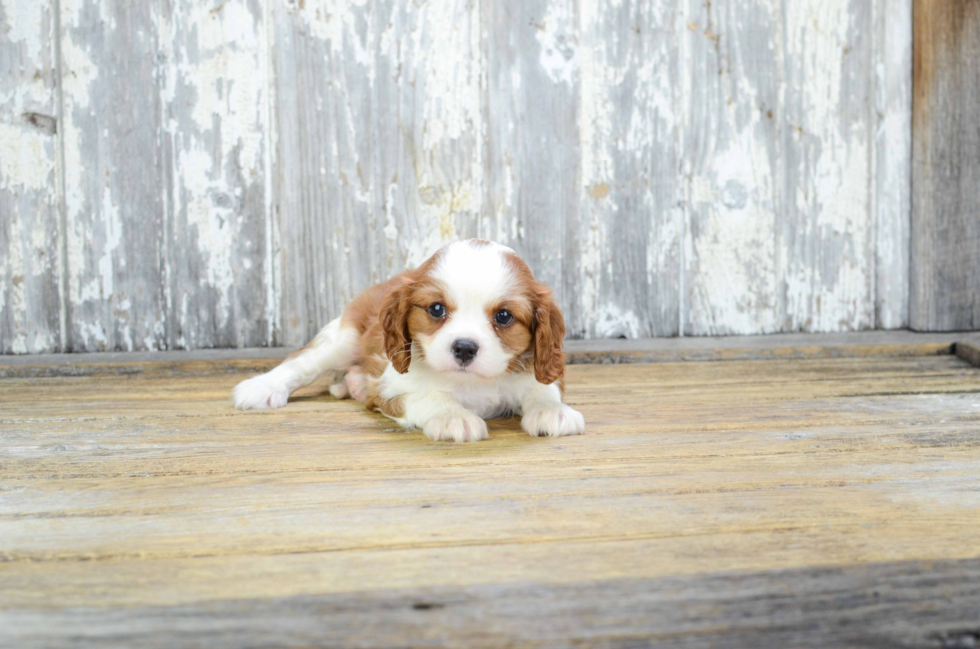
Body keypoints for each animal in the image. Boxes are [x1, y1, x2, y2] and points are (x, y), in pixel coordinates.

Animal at [232, 238, 580, 440]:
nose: (464, 348)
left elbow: (543, 389)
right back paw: (262, 388)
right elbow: (430, 397)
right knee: (302, 363)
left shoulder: (538, 368)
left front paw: (552, 410)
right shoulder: (389, 389)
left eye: (504, 316)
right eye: (436, 309)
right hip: (343, 339)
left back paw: (352, 383)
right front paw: (452, 416)